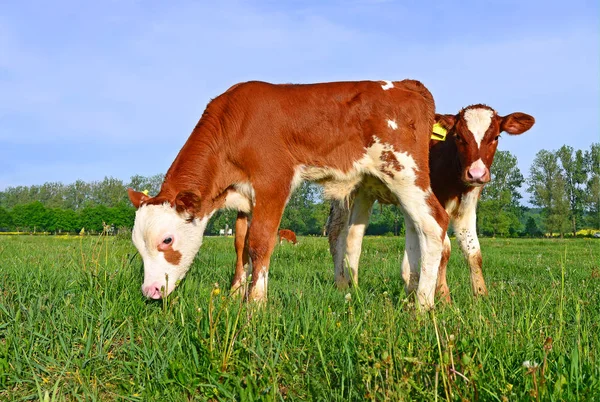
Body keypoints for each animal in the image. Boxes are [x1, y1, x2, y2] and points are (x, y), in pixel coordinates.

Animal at [130, 79, 450, 310]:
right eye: (136, 244)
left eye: (167, 240)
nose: (150, 291)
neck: (234, 124)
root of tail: (405, 84)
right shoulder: (243, 197)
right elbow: (240, 244)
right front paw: (235, 293)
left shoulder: (273, 183)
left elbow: (260, 242)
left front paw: (256, 302)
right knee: (414, 228)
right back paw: (412, 292)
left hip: (404, 173)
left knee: (434, 224)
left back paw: (423, 305)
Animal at [328, 103, 536, 302]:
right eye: (458, 136)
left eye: (496, 137)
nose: (476, 173)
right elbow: (444, 250)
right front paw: (443, 297)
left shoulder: (467, 208)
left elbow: (473, 252)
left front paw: (481, 296)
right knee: (336, 231)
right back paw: (342, 284)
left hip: (366, 192)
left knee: (354, 236)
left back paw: (354, 286)